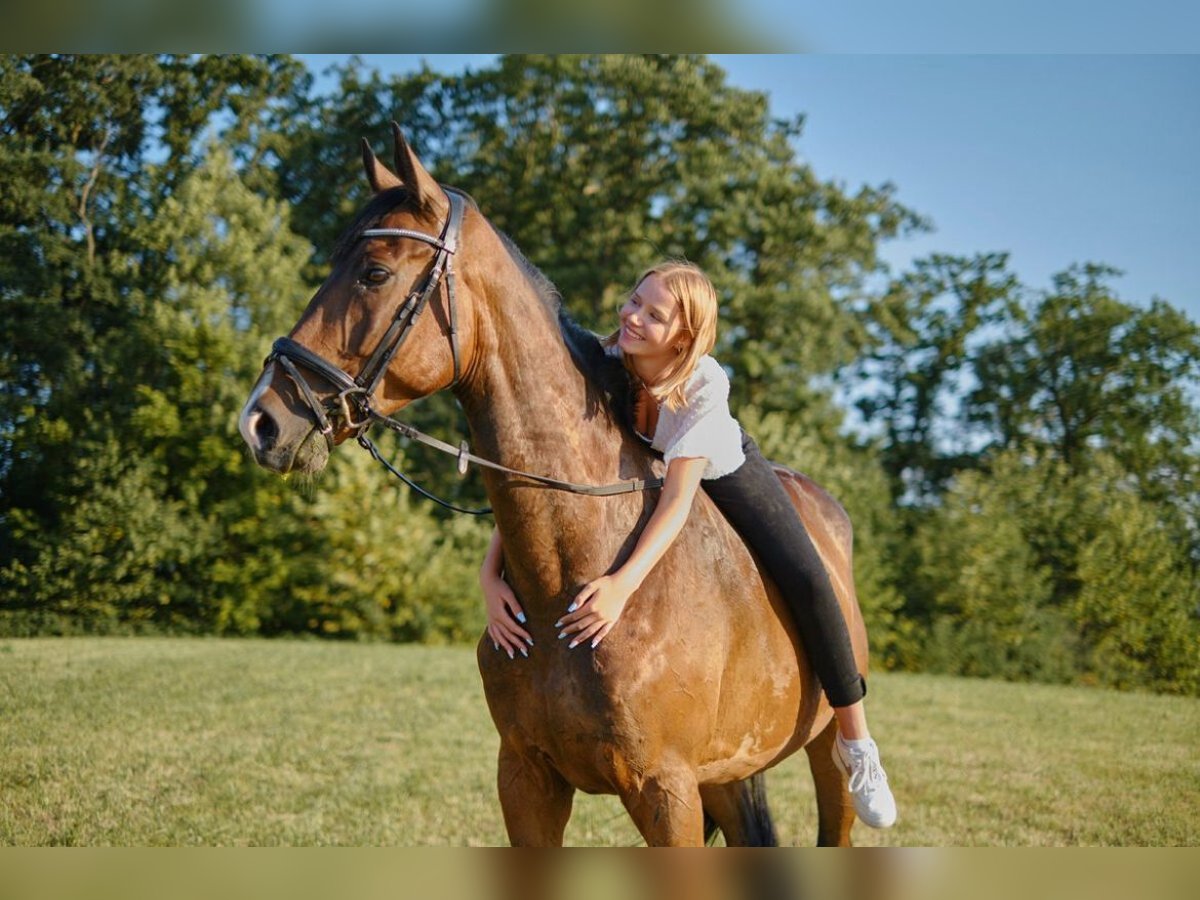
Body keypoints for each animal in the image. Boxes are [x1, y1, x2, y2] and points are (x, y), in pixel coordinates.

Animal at [238, 125, 868, 844]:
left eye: (374, 273)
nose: (260, 420)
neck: (575, 570)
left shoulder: (666, 792)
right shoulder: (525, 780)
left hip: (824, 754)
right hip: (727, 778)